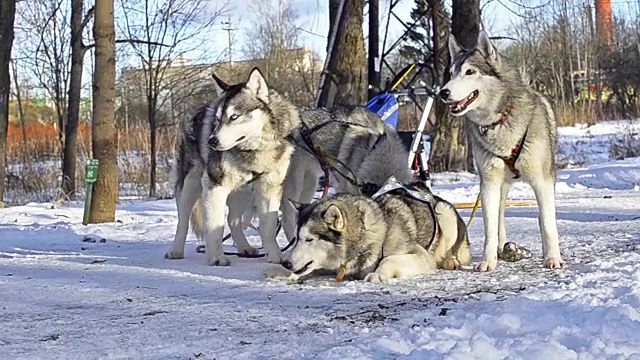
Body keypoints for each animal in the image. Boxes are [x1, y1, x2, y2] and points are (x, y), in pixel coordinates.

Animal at [440, 31, 564, 272]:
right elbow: (490, 226)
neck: (500, 119)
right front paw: (488, 261)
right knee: (499, 216)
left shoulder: (543, 181)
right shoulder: (488, 183)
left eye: (470, 71)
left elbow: (547, 223)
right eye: (451, 74)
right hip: (501, 185)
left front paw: (552, 257)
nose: (443, 92)